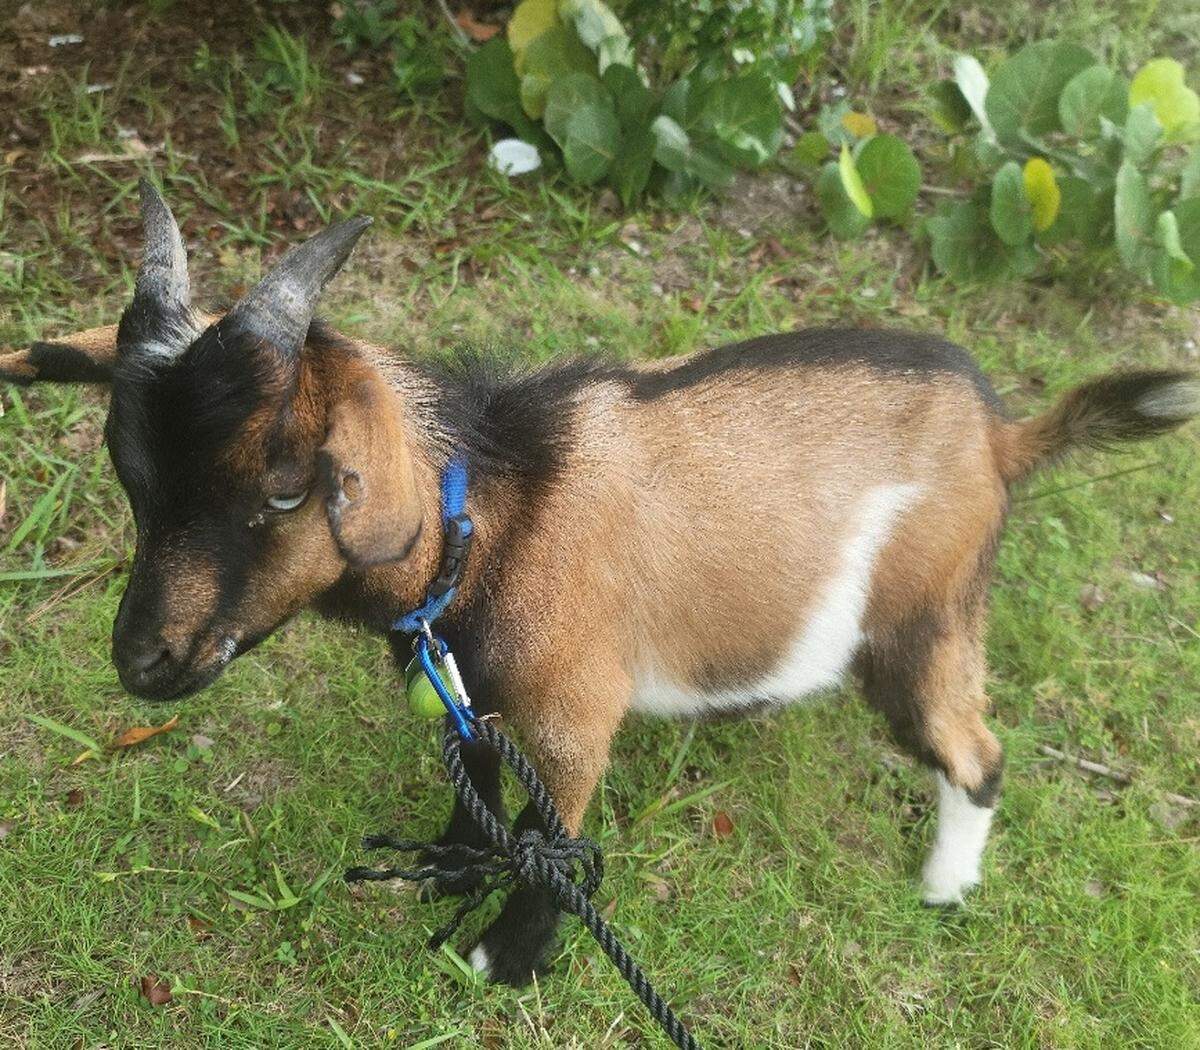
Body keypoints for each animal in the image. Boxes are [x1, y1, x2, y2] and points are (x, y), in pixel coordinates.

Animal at [3, 182, 1198, 986]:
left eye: (289, 487)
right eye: (130, 474)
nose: (144, 661)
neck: (494, 515)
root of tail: (1000, 437)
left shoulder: (574, 708)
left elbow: (557, 841)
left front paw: (501, 959)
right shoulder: (474, 695)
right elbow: (479, 791)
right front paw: (452, 861)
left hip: (926, 614)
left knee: (977, 752)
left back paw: (945, 887)